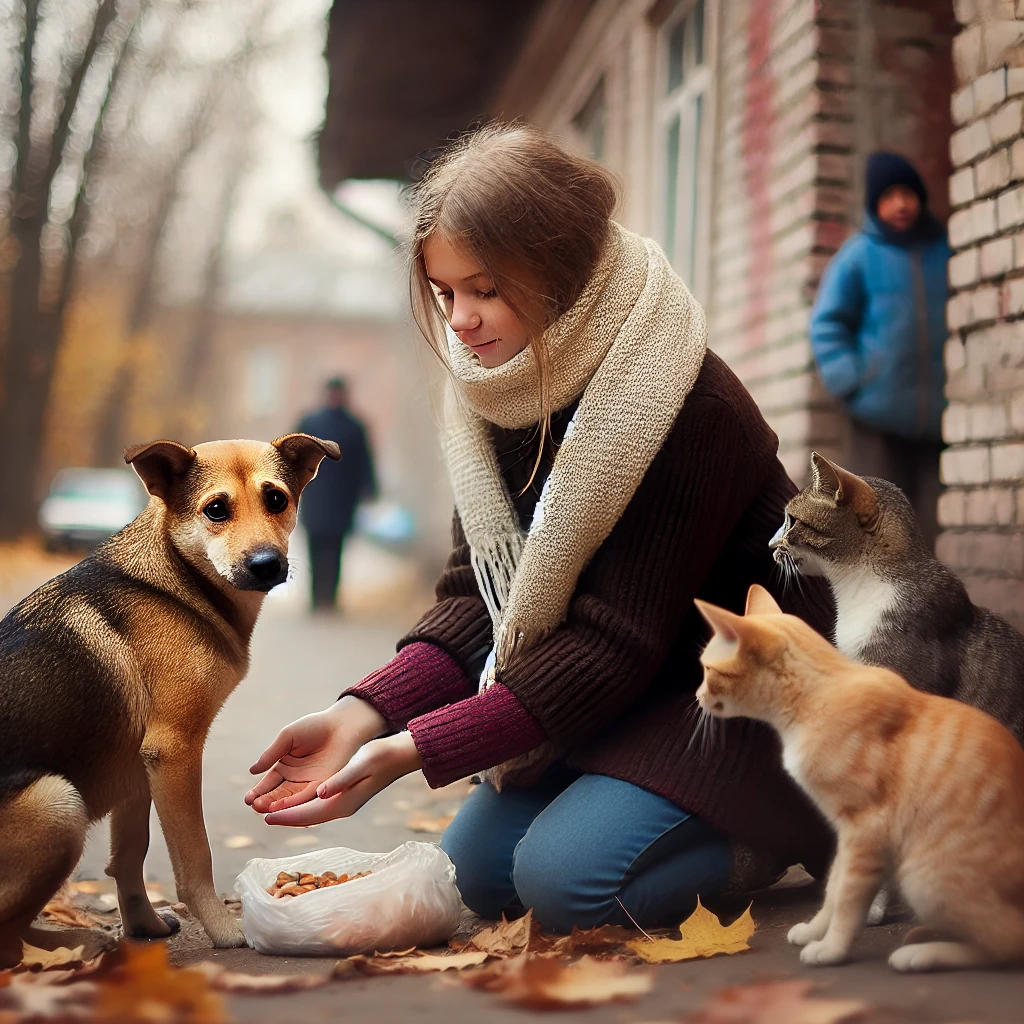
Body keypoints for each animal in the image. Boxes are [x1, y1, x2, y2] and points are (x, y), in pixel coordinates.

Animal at [0, 434, 342, 966]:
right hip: (58, 804)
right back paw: (74, 947)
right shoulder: (174, 750)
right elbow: (195, 856)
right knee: (7, 942)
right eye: (216, 509)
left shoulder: (138, 770)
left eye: (277, 499)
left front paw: (143, 926)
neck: (179, 582)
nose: (268, 564)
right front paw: (224, 929)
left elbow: (128, 857)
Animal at [700, 585, 1024, 966]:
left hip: (921, 876)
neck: (817, 696)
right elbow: (833, 886)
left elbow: (849, 898)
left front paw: (831, 950)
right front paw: (815, 930)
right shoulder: (845, 830)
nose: (698, 696)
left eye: (707, 670)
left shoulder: (867, 827)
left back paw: (921, 954)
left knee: (1007, 941)